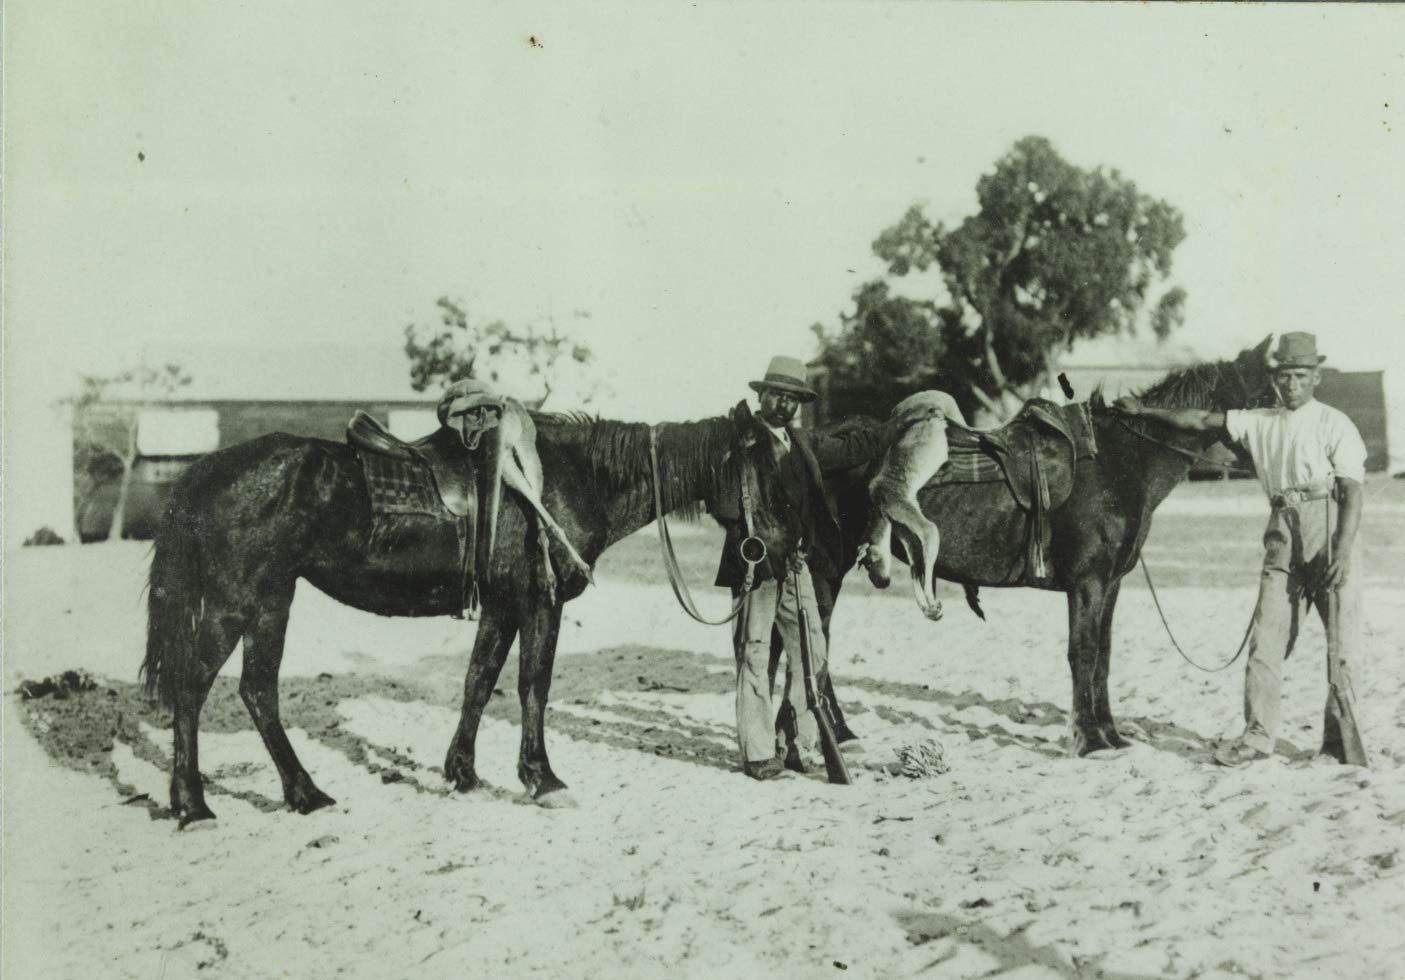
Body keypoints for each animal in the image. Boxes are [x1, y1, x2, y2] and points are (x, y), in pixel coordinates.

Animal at [141, 401, 758, 814]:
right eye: (767, 465)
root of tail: (203, 470)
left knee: (256, 691)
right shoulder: (540, 604)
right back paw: (195, 804)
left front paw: (462, 772)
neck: (563, 477)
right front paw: (543, 779)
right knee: (194, 688)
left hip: (271, 599)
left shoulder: (501, 608)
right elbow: (533, 686)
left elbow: (478, 682)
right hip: (236, 603)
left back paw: (304, 793)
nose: (768, 550)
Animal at [809, 335, 1281, 758]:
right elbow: (1083, 653)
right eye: (1268, 394)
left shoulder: (1110, 585)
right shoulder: (1087, 583)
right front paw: (1090, 740)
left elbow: (1103, 655)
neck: (1120, 462)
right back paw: (840, 734)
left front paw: (1111, 735)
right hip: (824, 575)